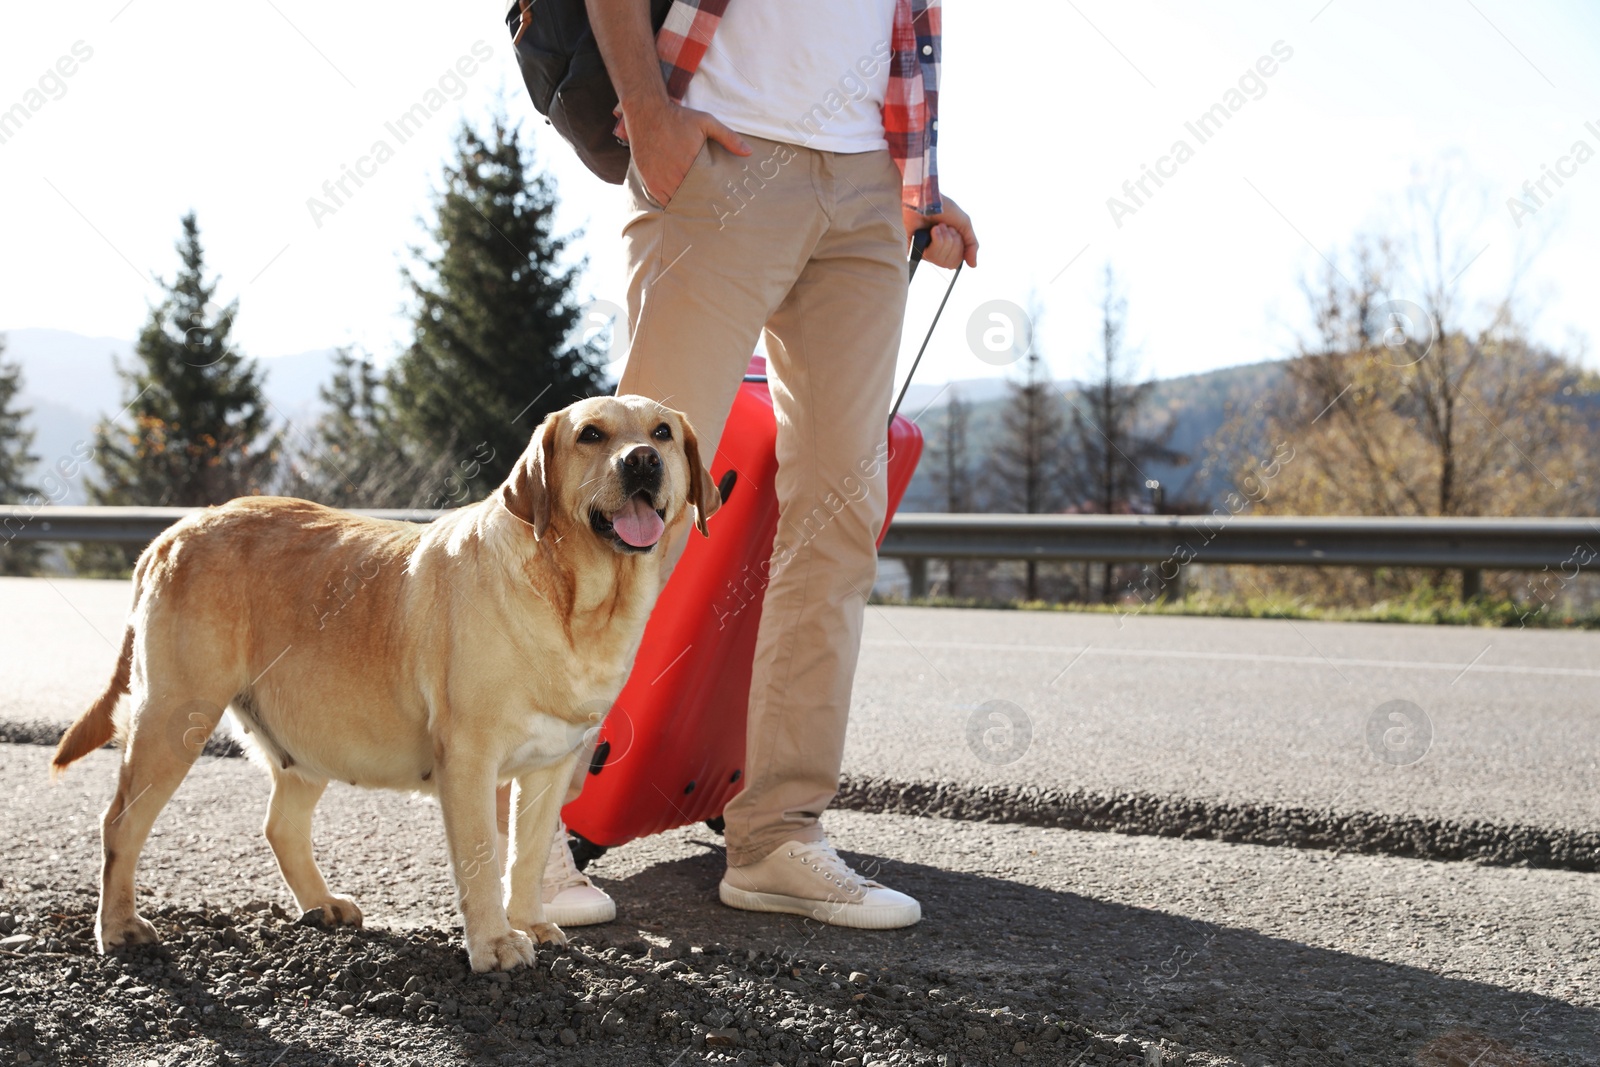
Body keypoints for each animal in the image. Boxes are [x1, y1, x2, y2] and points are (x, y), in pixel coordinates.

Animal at [53, 396, 720, 972]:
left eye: (662, 431)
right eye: (591, 435)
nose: (643, 460)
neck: (574, 601)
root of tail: (173, 533)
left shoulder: (550, 766)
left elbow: (526, 857)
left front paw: (530, 923)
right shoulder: (469, 760)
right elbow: (482, 861)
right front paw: (495, 944)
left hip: (309, 737)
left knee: (280, 826)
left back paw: (322, 906)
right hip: (175, 717)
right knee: (119, 823)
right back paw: (119, 928)